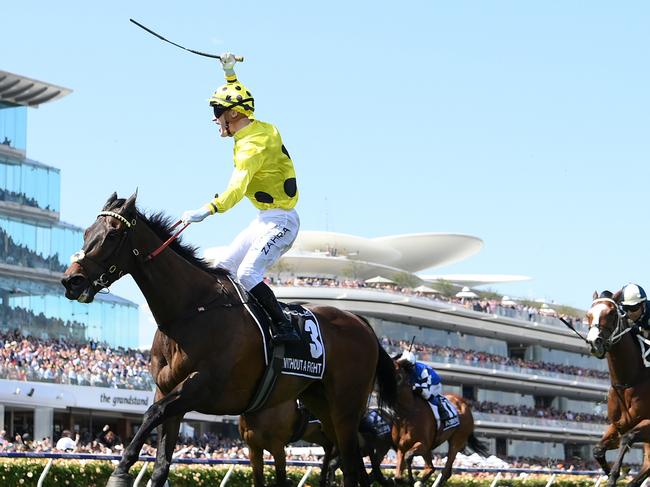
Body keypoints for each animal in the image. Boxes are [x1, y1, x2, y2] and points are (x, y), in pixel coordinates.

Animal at [60, 193, 394, 486]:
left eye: (112, 235)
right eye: (87, 232)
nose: (71, 280)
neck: (191, 309)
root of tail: (362, 323)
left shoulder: (204, 386)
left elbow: (150, 414)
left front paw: (121, 470)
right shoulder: (167, 391)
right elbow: (161, 463)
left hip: (346, 408)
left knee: (352, 466)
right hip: (322, 404)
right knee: (352, 467)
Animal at [584, 292, 650, 486]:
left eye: (612, 313)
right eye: (588, 315)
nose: (594, 342)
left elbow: (628, 437)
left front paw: (614, 475)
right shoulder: (618, 425)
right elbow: (598, 449)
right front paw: (611, 474)